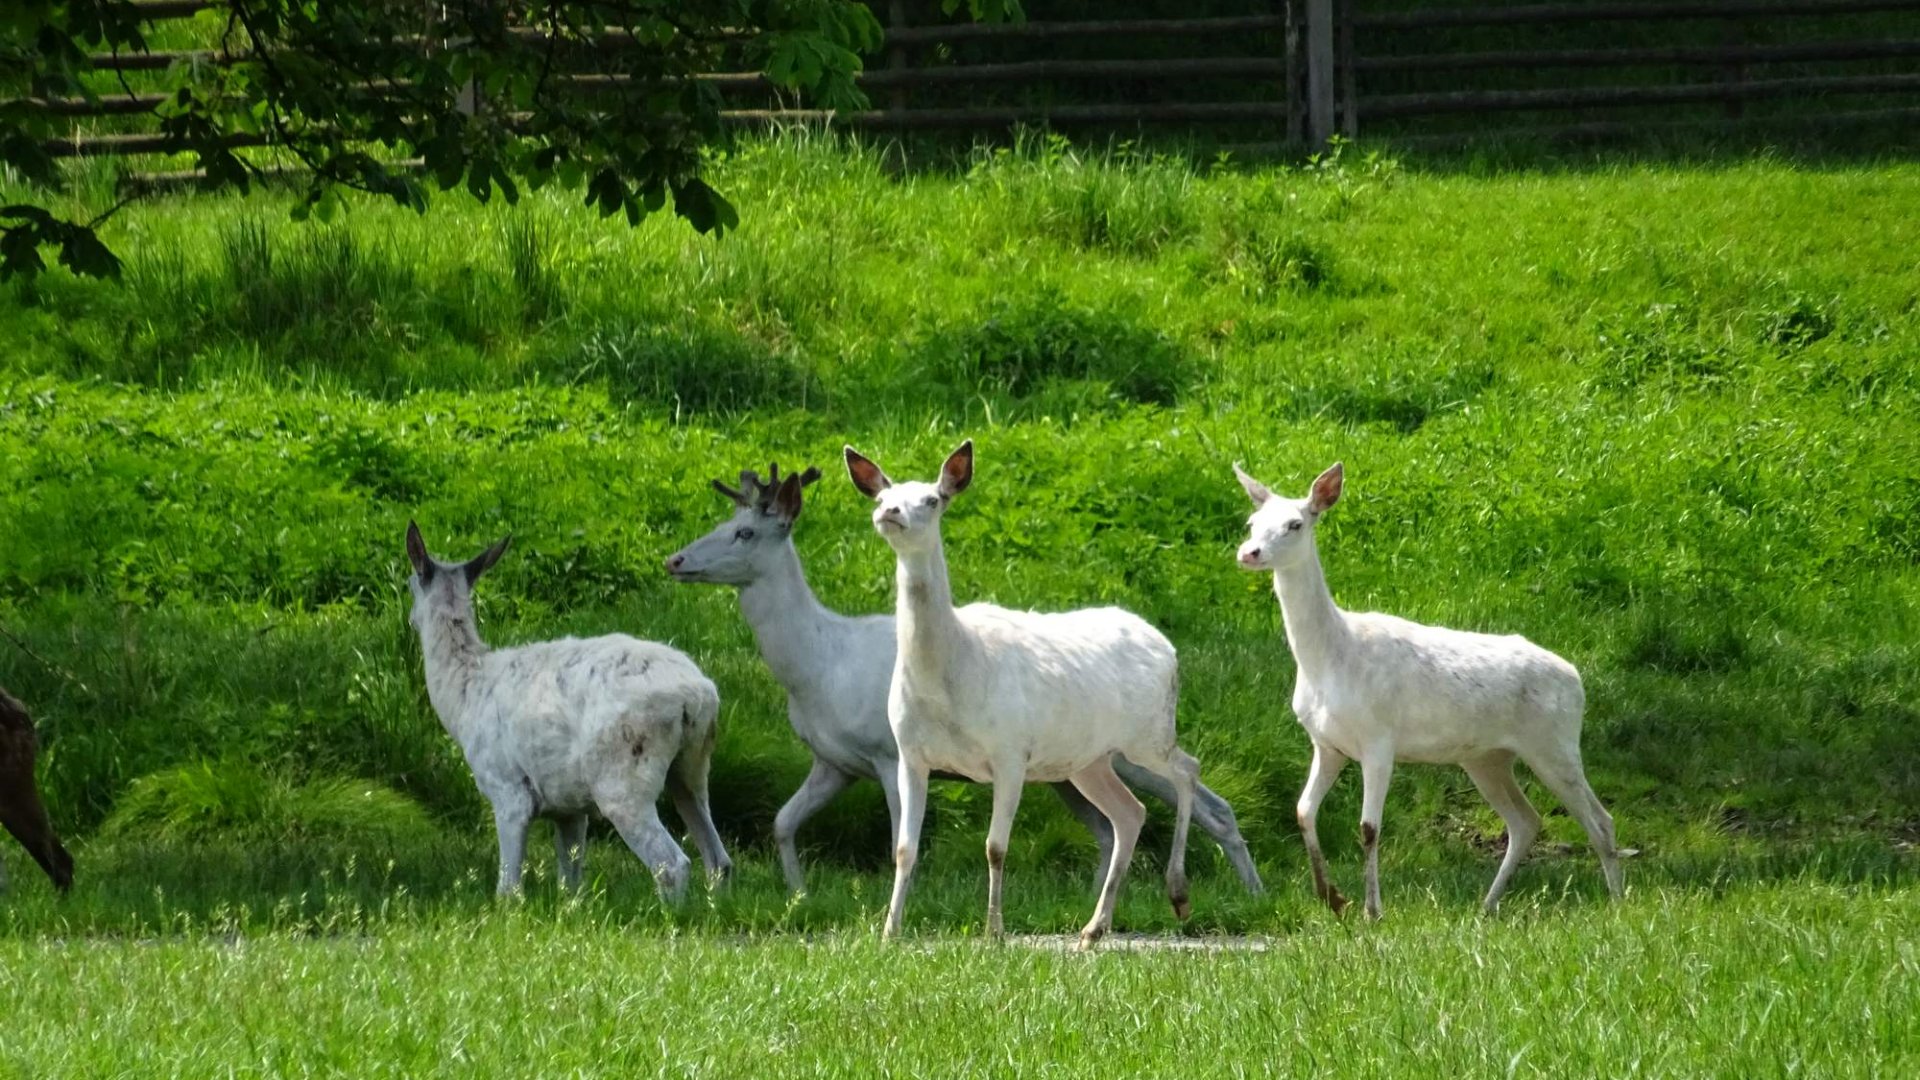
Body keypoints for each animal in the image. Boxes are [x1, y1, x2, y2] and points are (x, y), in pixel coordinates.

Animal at [407, 522, 733, 899]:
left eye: (409, 583)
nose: (410, 619)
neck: (463, 697)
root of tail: (698, 696)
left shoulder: (507, 789)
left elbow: (508, 886)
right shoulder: (569, 808)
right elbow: (570, 882)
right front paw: (572, 905)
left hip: (623, 774)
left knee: (672, 863)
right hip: (693, 765)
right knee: (718, 858)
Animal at [660, 461, 1259, 891]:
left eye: (742, 532)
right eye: (721, 524)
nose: (676, 561)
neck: (816, 667)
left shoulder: (886, 751)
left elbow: (900, 837)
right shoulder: (835, 760)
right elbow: (783, 822)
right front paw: (798, 892)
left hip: (1126, 748)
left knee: (1209, 803)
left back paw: (1248, 892)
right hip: (1069, 768)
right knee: (1109, 827)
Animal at [1228, 457, 1620, 910]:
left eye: (1295, 523)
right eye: (1251, 522)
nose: (1249, 552)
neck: (1329, 661)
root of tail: (1576, 678)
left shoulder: (1379, 739)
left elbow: (1369, 827)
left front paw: (1372, 910)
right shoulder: (1327, 743)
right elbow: (1303, 810)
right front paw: (1332, 898)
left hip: (1554, 742)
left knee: (1600, 820)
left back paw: (1617, 903)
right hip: (1487, 757)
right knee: (1526, 820)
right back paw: (1487, 906)